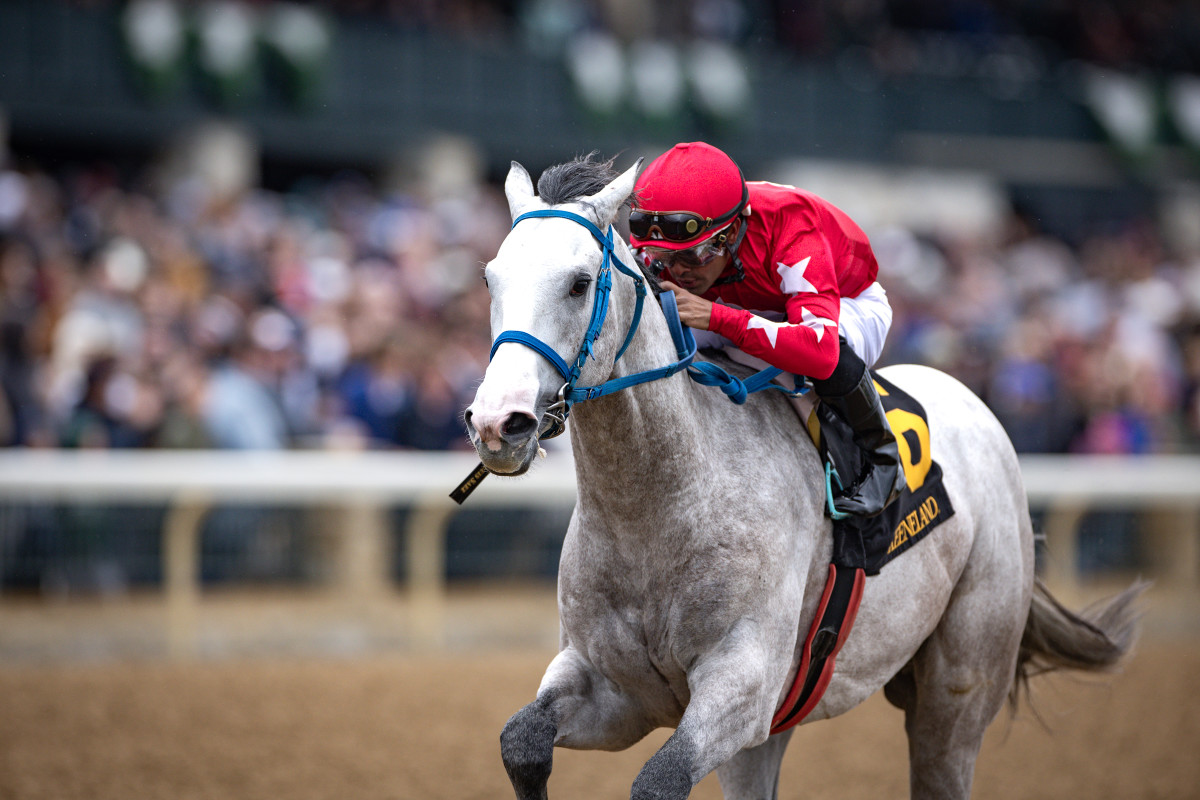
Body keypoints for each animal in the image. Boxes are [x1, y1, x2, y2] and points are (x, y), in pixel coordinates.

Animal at [464, 154, 1142, 800]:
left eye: (579, 284)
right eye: (490, 277)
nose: (499, 422)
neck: (657, 507)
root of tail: (974, 402)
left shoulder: (742, 687)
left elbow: (657, 782)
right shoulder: (612, 686)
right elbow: (520, 741)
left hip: (958, 689)